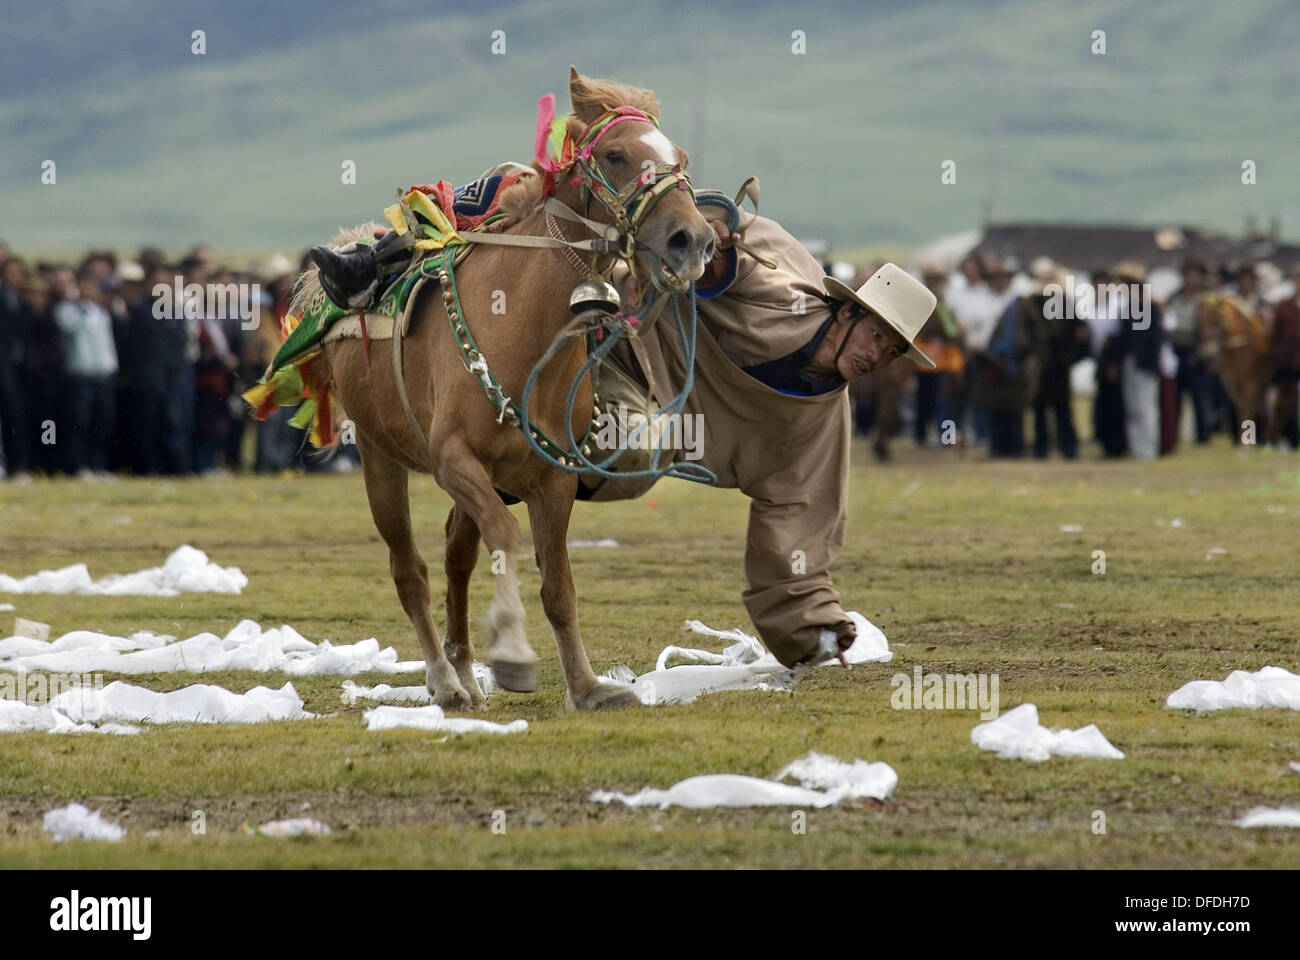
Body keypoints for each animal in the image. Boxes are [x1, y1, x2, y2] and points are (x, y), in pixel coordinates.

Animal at [306, 67, 712, 707]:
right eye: (616, 155)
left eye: (682, 159)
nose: (691, 240)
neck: (520, 326)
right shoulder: (453, 460)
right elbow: (505, 536)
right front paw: (515, 655)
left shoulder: (553, 478)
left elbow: (558, 585)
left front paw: (587, 685)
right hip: (379, 457)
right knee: (411, 569)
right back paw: (446, 681)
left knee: (455, 554)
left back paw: (466, 670)